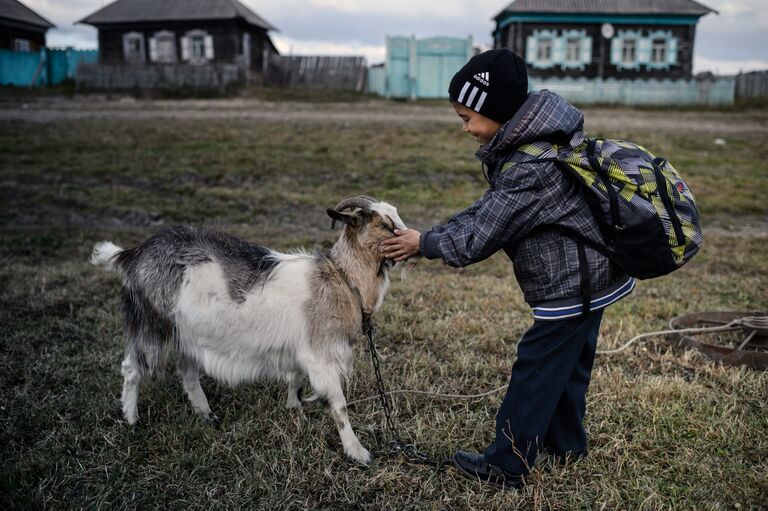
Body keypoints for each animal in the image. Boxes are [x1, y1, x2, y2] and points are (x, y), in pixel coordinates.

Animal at [90, 196, 408, 464]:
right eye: (383, 224)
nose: (409, 241)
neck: (341, 278)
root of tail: (131, 255)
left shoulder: (300, 349)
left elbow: (295, 377)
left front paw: (294, 409)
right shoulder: (321, 354)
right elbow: (339, 405)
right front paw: (358, 452)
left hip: (186, 334)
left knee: (188, 373)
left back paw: (206, 415)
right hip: (152, 324)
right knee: (132, 367)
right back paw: (132, 420)